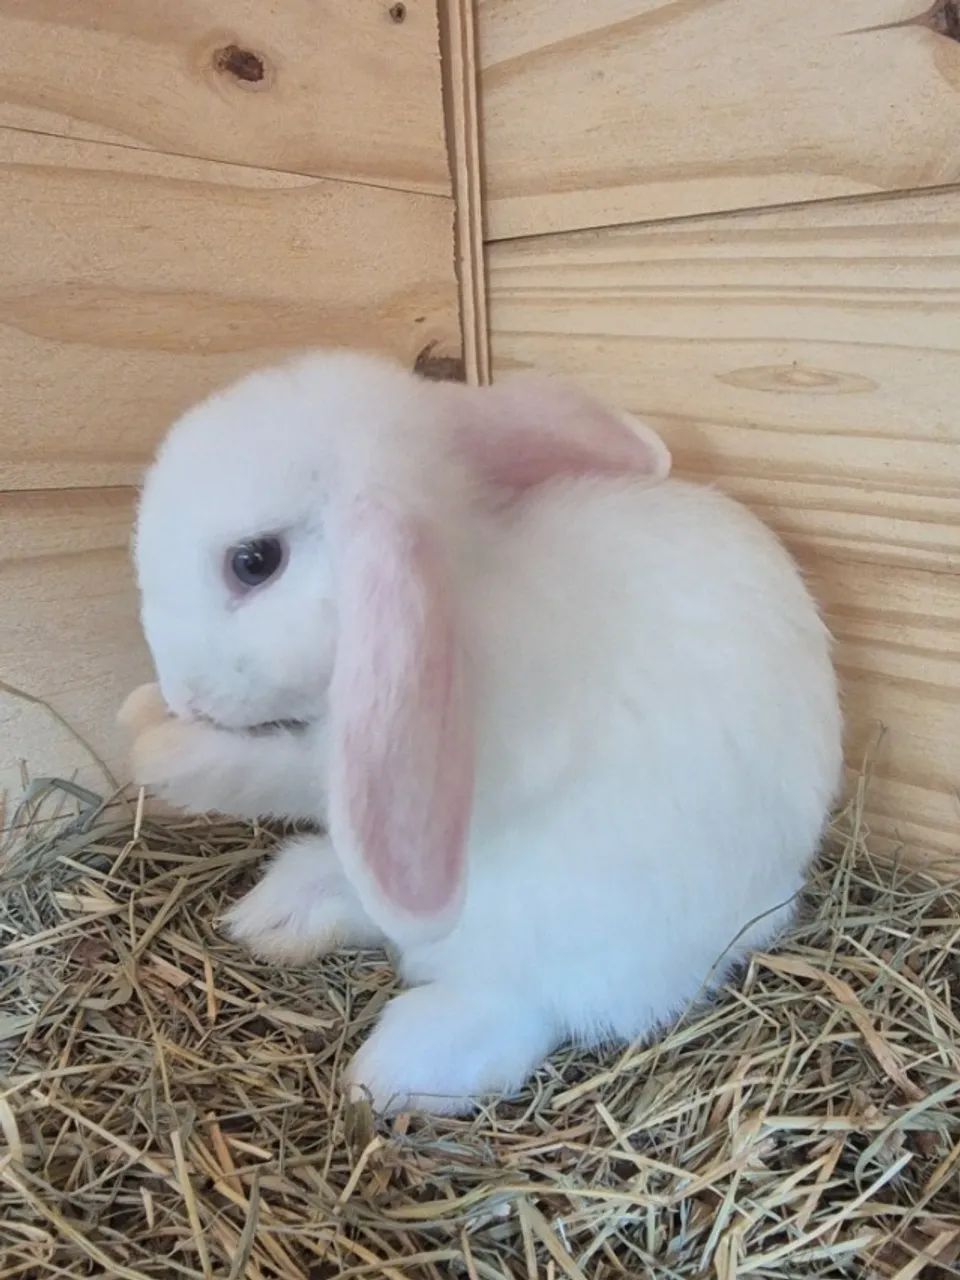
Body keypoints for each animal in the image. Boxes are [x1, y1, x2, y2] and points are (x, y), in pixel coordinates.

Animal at [121, 349, 843, 1115]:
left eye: (254, 561)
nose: (180, 692)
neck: (454, 591)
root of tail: (771, 904)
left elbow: (283, 771)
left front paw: (155, 744)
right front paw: (143, 712)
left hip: (578, 936)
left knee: (528, 1004)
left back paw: (396, 1065)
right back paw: (278, 915)